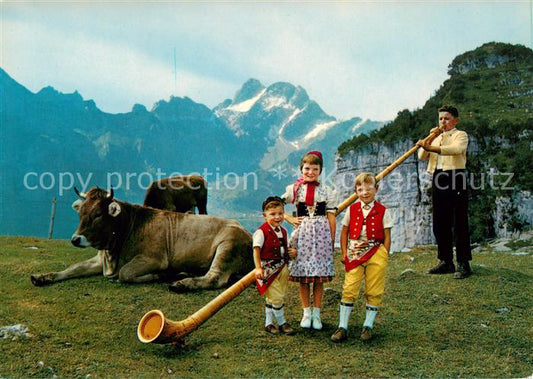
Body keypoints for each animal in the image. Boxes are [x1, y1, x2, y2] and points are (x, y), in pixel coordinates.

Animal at [30, 188, 252, 294]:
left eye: (98, 214)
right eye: (81, 212)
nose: (76, 239)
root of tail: (246, 230)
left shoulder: (154, 259)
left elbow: (125, 273)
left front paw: (157, 276)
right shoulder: (99, 259)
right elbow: (72, 268)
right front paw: (43, 277)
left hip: (227, 247)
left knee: (215, 278)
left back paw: (181, 284)